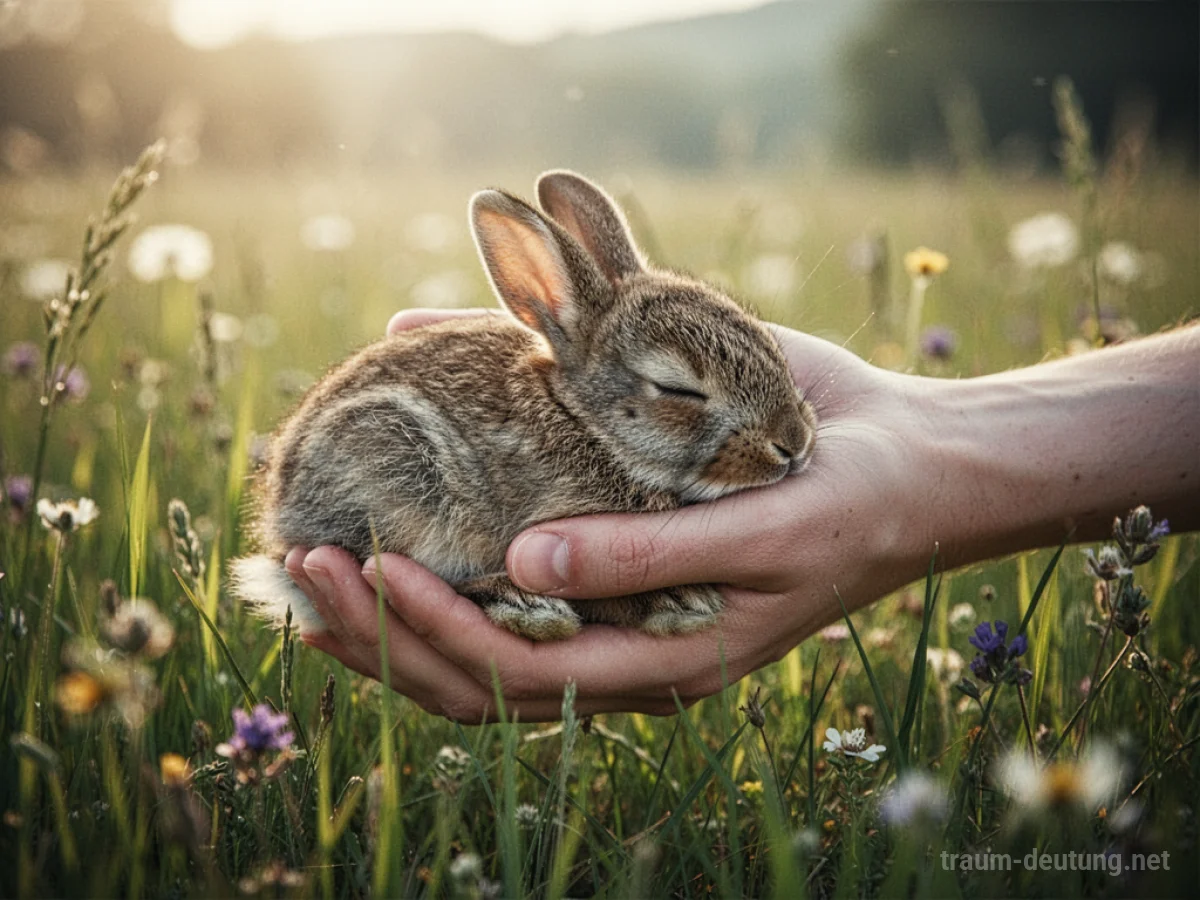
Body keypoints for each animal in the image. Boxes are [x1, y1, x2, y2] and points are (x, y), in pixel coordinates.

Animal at [230, 171, 816, 641]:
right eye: (677, 390)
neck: (585, 422)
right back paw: (523, 605)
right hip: (394, 470)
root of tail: (282, 524)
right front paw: (674, 602)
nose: (795, 443)